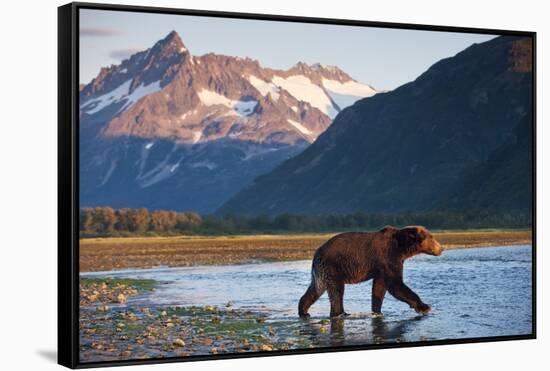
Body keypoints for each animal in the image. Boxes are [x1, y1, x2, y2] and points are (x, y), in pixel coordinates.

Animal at [298, 225, 444, 318]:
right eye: (432, 237)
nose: (441, 248)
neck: (401, 248)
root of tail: (317, 253)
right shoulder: (387, 257)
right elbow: (396, 285)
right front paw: (424, 307)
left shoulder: (382, 267)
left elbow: (379, 287)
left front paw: (377, 311)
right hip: (333, 266)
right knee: (336, 291)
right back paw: (340, 313)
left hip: (321, 272)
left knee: (315, 289)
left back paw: (304, 311)